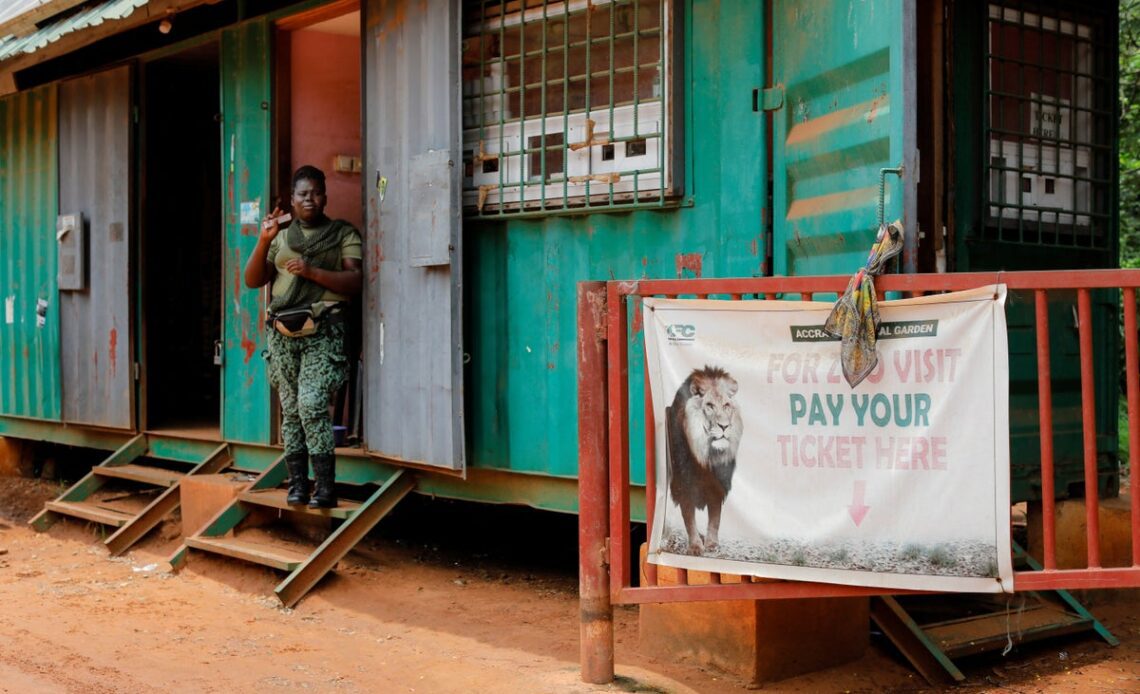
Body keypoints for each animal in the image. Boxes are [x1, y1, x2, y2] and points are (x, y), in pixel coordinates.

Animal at [665, 364, 743, 553]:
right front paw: (695, 546)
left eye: (726, 405)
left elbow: (715, 517)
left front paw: (712, 543)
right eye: (709, 405)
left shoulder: (718, 485)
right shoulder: (683, 484)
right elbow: (688, 516)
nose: (724, 426)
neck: (706, 456)